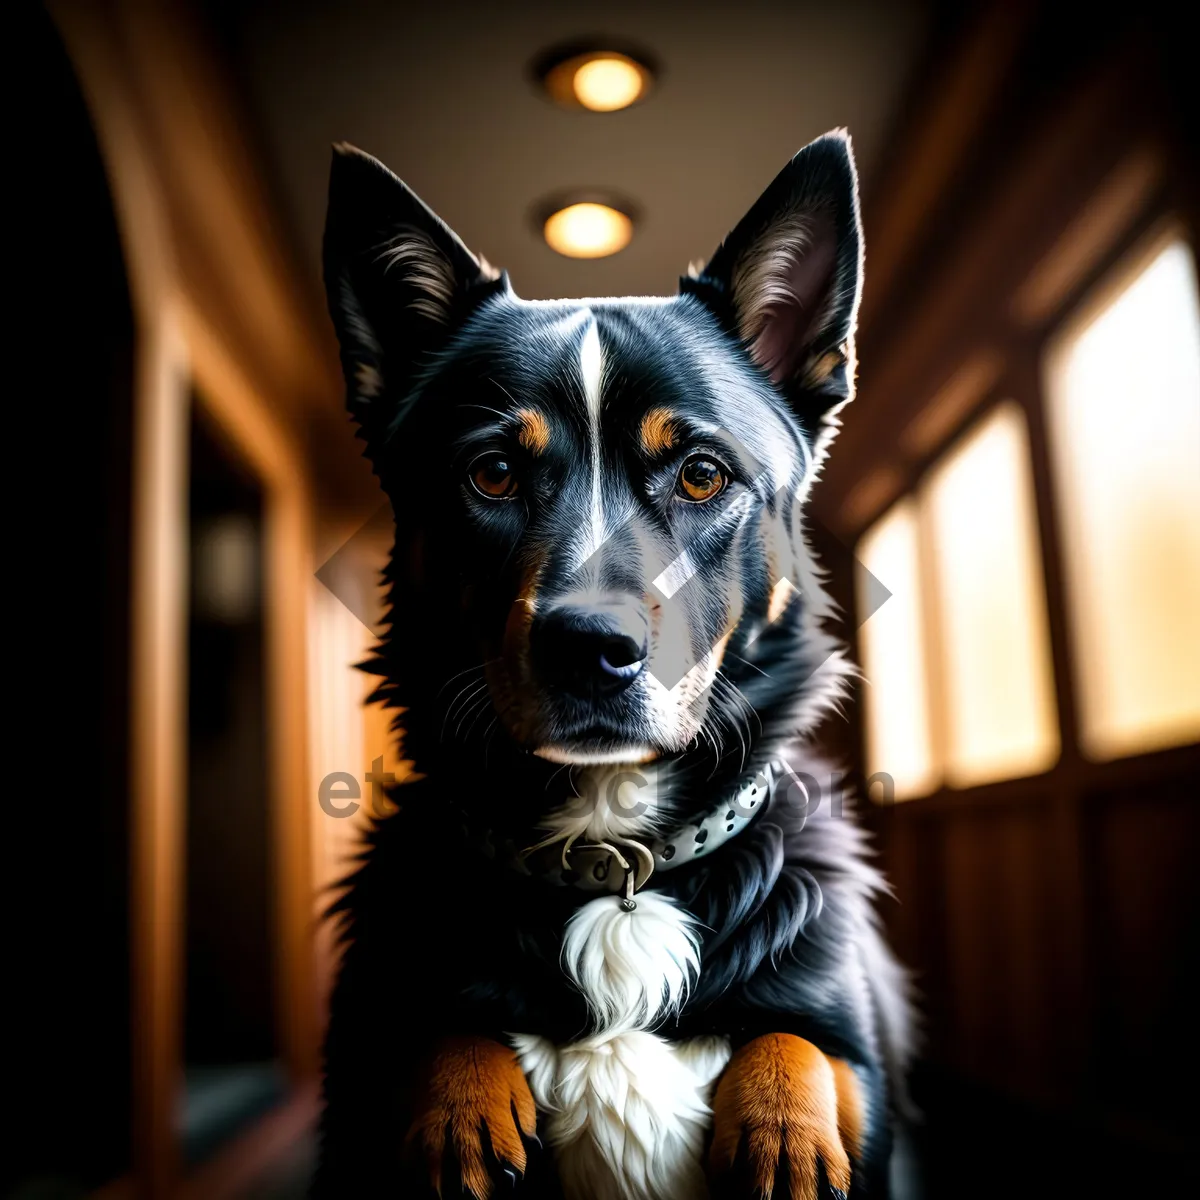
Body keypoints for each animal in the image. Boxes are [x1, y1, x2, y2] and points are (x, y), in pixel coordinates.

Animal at [314, 133, 912, 1200]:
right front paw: (460, 1120)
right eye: (492, 473)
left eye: (703, 474)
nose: (590, 647)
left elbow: (802, 1049)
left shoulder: (848, 1046)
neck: (611, 863)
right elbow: (441, 1033)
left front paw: (788, 1140)